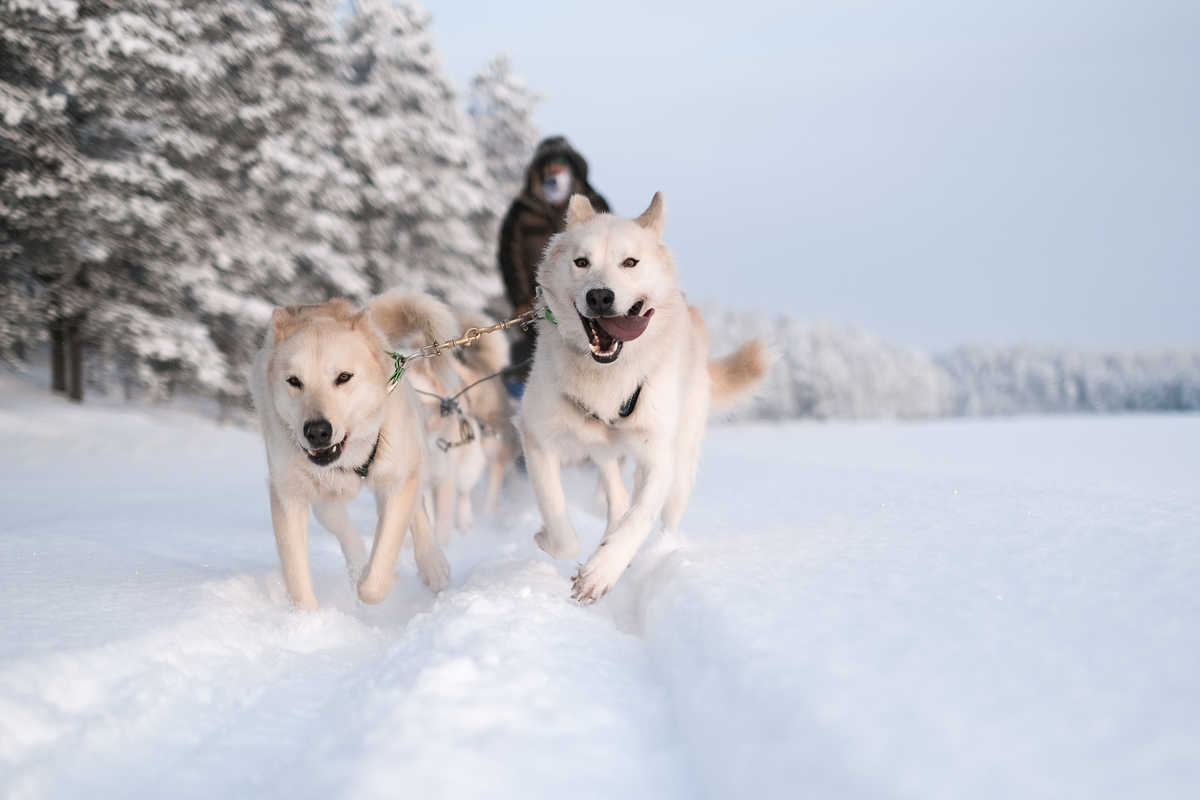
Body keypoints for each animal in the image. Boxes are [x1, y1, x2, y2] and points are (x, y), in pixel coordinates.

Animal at [250, 291, 456, 609]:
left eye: (343, 377)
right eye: (294, 381)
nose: (317, 431)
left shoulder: (396, 483)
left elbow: (378, 574)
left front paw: (377, 581)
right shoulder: (289, 495)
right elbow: (296, 576)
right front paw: (307, 618)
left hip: (410, 461)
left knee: (417, 512)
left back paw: (432, 564)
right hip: (325, 502)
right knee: (345, 530)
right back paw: (358, 564)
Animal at [520, 191, 772, 599]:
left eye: (630, 262)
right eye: (581, 262)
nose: (600, 296)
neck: (608, 376)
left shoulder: (658, 458)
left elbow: (638, 518)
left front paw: (602, 570)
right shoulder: (535, 434)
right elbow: (560, 524)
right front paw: (549, 538)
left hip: (682, 462)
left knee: (664, 518)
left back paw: (660, 551)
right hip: (602, 448)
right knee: (617, 494)